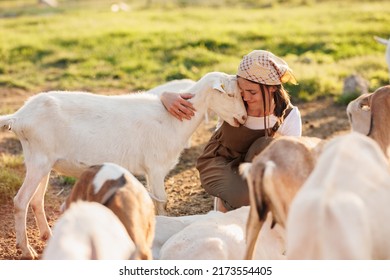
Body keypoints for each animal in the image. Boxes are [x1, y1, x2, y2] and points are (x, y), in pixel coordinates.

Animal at [0, 71, 247, 260]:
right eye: (231, 94)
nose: (243, 118)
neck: (173, 120)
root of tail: (18, 117)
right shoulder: (155, 167)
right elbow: (162, 202)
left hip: (43, 162)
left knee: (36, 201)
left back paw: (47, 236)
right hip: (38, 160)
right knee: (21, 201)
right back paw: (26, 250)